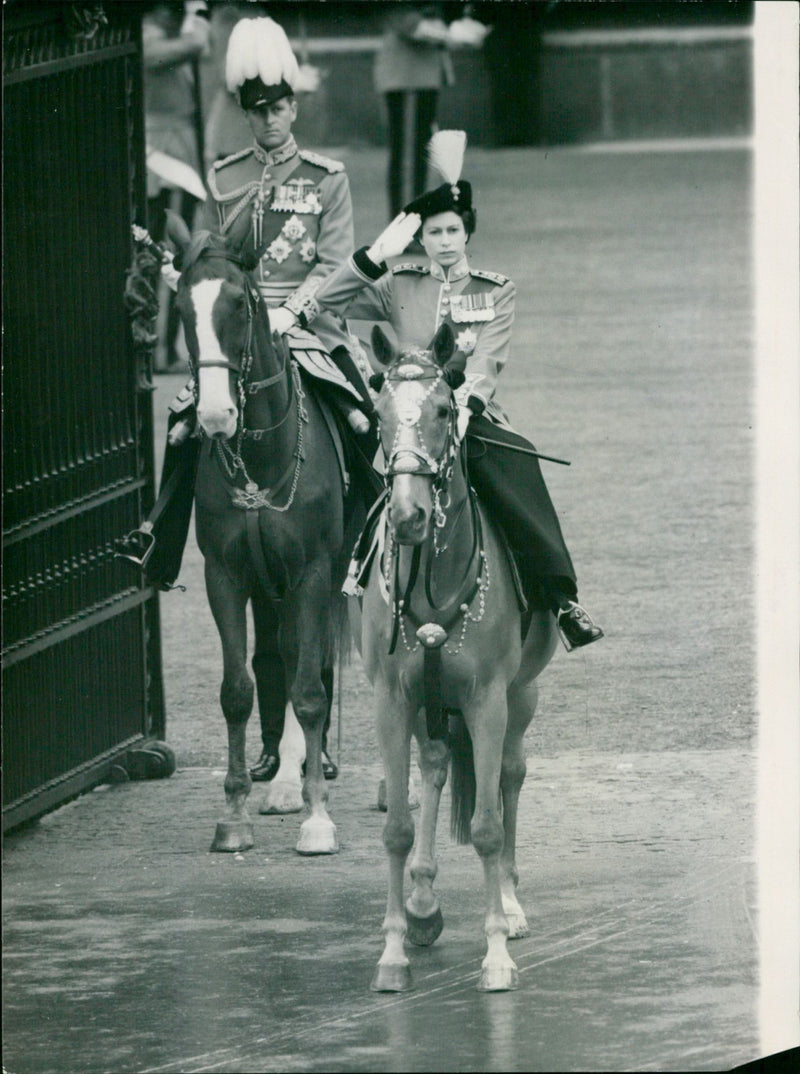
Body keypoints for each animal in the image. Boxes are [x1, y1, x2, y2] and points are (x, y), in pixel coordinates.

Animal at [169, 218, 354, 854]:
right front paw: (234, 814)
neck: (259, 458)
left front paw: (318, 817)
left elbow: (311, 689)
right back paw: (282, 774)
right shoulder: (224, 576)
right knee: (284, 655)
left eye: (241, 304)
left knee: (315, 664)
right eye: (181, 308)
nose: (215, 416)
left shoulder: (314, 573)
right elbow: (237, 689)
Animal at [352, 320, 558, 988]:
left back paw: (510, 905)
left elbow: (489, 826)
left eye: (444, 409)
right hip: (429, 705)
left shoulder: (487, 700)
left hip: (522, 696)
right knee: (438, 766)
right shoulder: (392, 702)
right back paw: (421, 902)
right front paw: (392, 953)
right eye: (380, 412)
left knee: (510, 778)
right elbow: (397, 827)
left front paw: (496, 954)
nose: (409, 515)